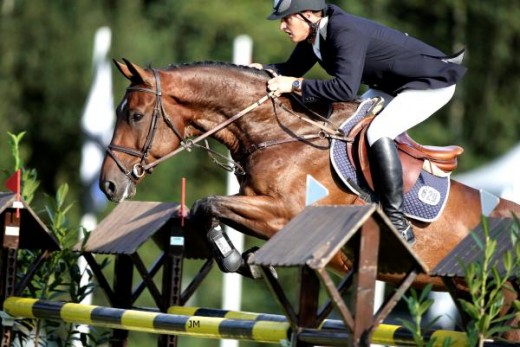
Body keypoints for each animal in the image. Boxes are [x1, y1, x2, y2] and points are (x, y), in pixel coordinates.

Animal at [98, 59, 520, 340]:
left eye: (135, 116)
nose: (109, 186)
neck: (277, 133)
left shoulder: (284, 215)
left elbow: (208, 203)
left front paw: (237, 259)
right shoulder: (254, 200)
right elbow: (209, 207)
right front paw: (243, 259)